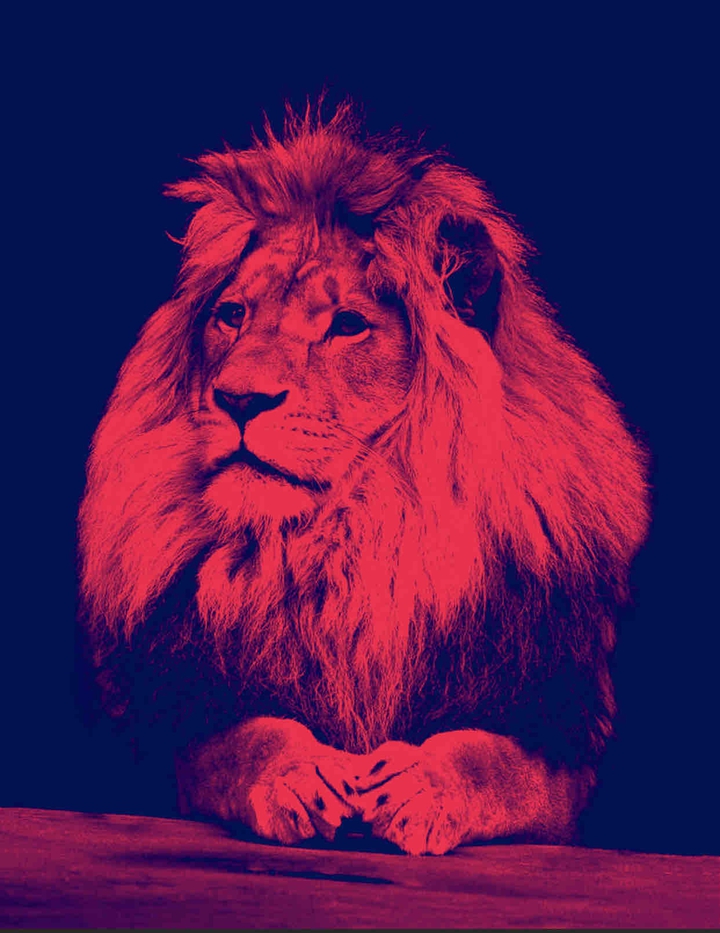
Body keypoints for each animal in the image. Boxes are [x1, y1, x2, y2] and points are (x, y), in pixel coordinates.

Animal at [78, 102, 649, 855]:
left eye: (348, 325)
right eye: (232, 315)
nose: (238, 399)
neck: (354, 541)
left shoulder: (558, 731)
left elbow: (495, 762)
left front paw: (423, 784)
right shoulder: (169, 722)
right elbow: (237, 742)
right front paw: (297, 775)